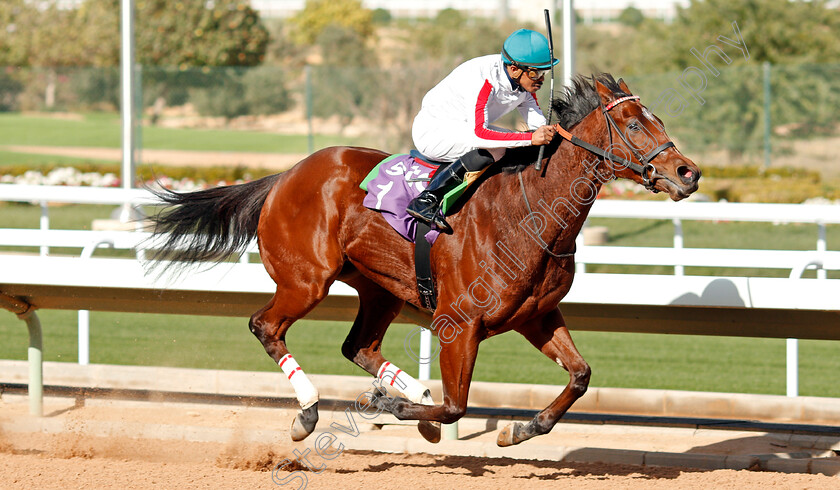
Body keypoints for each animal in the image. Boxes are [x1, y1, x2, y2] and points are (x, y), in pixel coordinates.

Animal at [146, 73, 704, 448]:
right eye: (633, 124)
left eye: (657, 120)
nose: (689, 172)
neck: (529, 214)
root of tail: (285, 176)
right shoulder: (460, 322)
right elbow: (457, 407)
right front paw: (403, 409)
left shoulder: (537, 316)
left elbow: (581, 374)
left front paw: (521, 428)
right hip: (306, 281)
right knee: (267, 326)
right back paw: (310, 413)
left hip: (379, 289)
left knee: (358, 346)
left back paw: (404, 393)